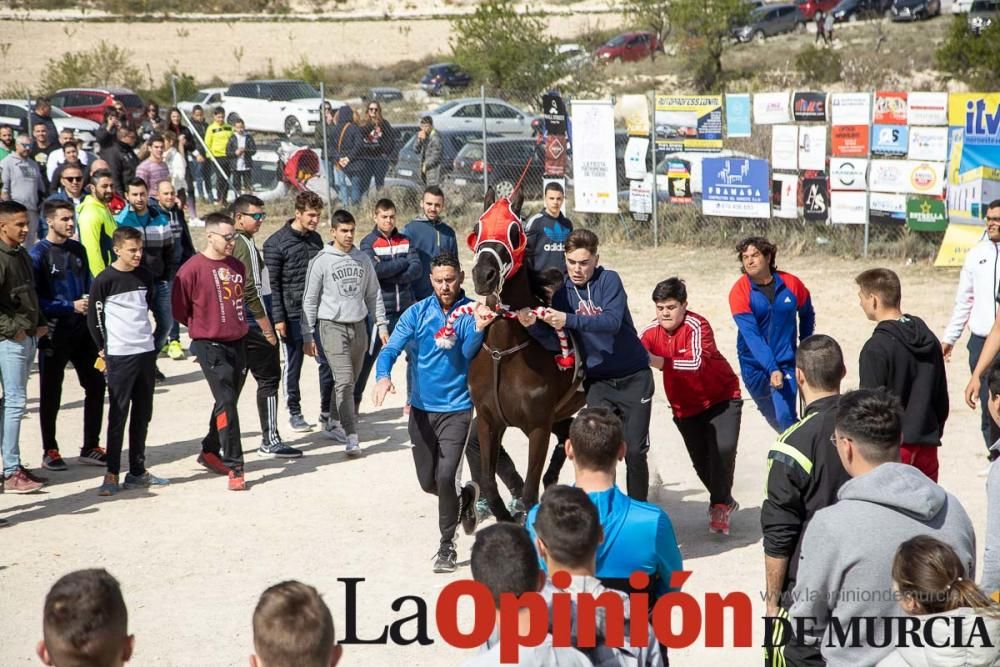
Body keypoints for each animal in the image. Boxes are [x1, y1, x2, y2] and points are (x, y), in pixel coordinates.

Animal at [468, 188, 584, 520]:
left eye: (514, 232)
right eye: (478, 228)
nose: (484, 274)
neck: (503, 352)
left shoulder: (537, 427)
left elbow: (531, 492)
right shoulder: (488, 422)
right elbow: (490, 484)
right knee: (566, 432)